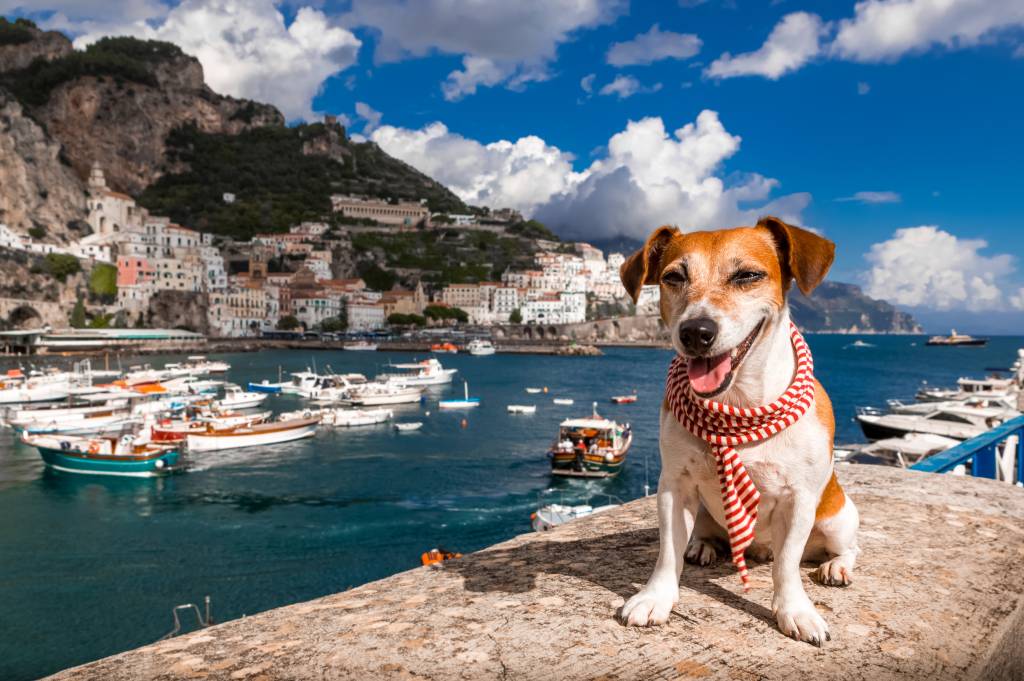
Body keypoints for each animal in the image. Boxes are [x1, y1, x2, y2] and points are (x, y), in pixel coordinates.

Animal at [618, 214, 860, 643]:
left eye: (748, 275)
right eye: (673, 277)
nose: (696, 331)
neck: (738, 403)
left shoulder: (799, 499)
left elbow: (787, 564)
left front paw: (795, 610)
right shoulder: (674, 486)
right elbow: (667, 552)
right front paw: (656, 597)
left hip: (837, 519)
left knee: (846, 548)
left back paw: (837, 566)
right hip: (702, 509)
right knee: (701, 534)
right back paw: (702, 546)